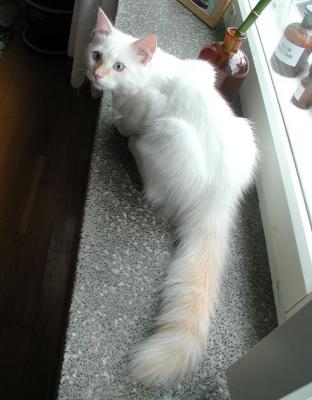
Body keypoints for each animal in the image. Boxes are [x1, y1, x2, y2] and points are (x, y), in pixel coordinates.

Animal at [86, 7, 258, 388]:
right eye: (96, 56)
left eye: (118, 66)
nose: (95, 74)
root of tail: (219, 198)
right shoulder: (203, 69)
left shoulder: (145, 107)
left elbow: (130, 119)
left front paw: (121, 126)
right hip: (246, 133)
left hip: (167, 133)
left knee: (152, 184)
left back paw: (133, 147)